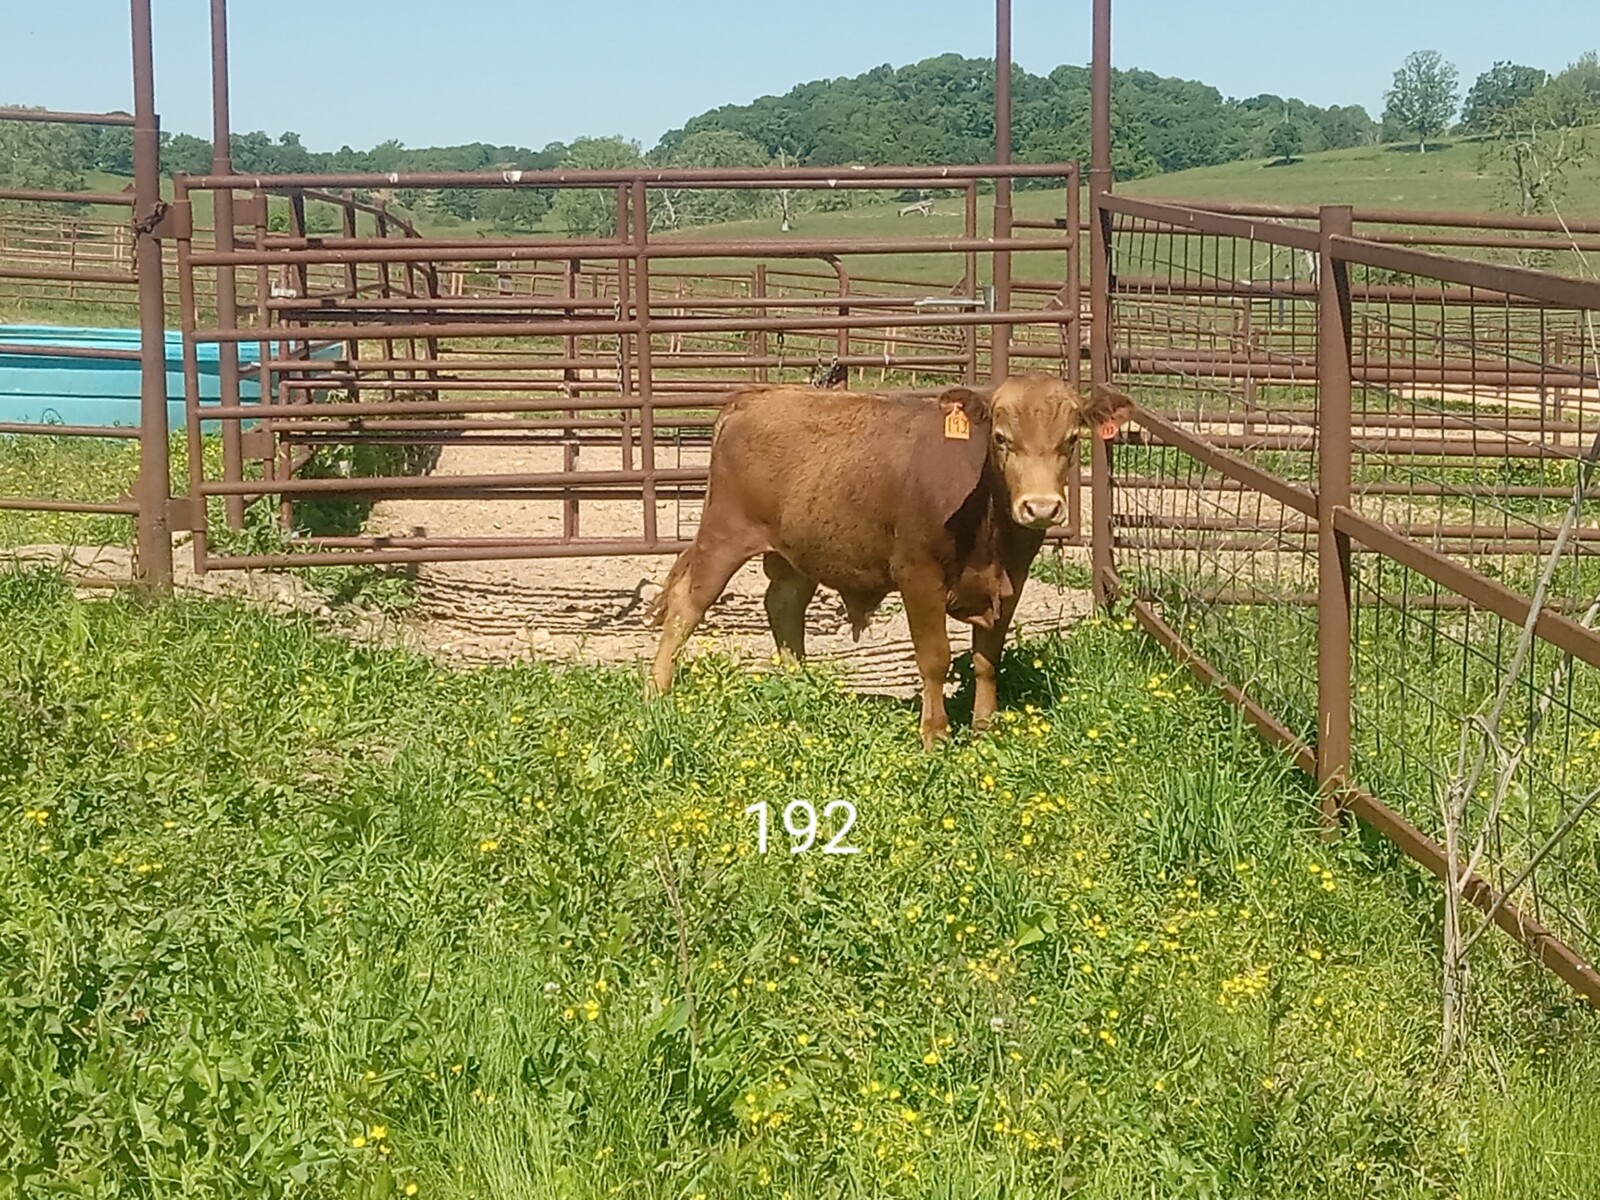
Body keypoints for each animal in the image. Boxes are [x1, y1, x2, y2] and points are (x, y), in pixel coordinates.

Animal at [644, 372, 1136, 748]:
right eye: (1001, 438)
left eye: (1071, 441)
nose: (1041, 508)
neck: (987, 525)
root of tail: (754, 397)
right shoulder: (918, 575)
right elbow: (935, 658)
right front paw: (935, 734)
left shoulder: (1011, 579)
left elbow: (986, 658)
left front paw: (984, 729)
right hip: (723, 535)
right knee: (687, 603)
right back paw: (658, 690)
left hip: (798, 552)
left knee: (783, 605)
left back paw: (800, 684)